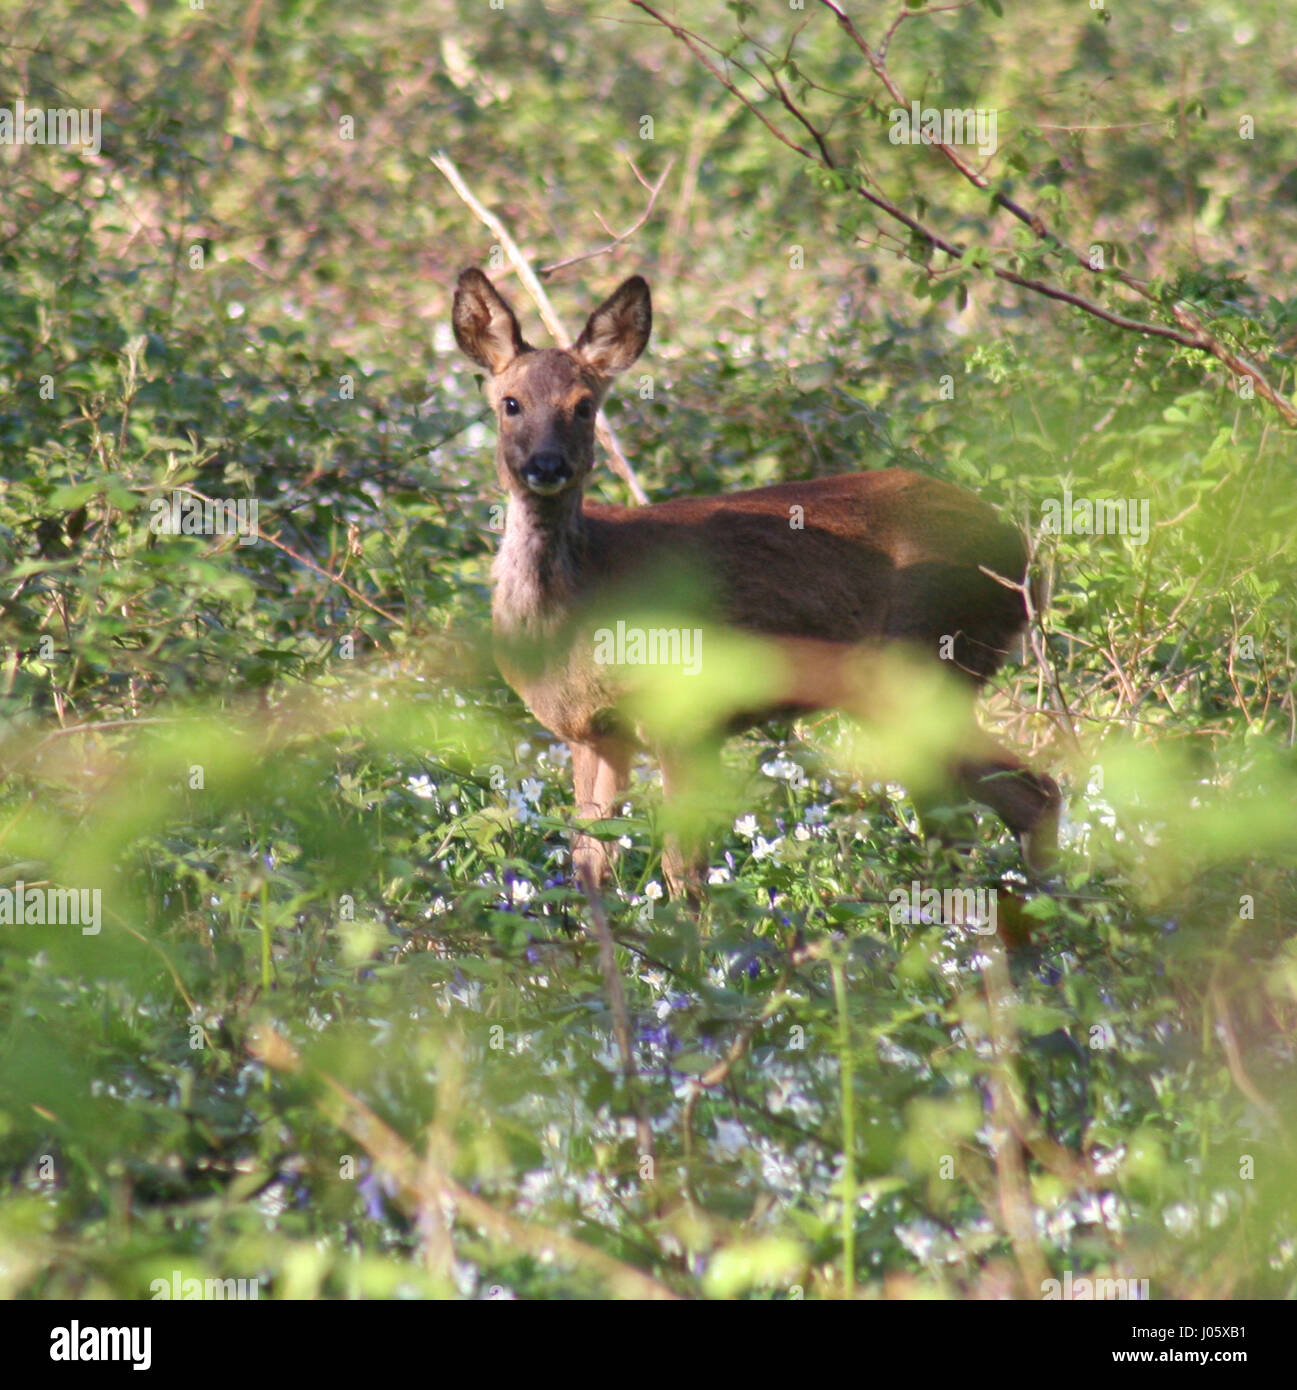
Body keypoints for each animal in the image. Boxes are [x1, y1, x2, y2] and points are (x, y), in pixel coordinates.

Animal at [450, 268, 1056, 900]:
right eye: (511, 403)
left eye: (584, 406)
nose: (546, 465)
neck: (582, 598)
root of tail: (1024, 560)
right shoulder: (590, 733)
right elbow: (590, 864)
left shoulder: (686, 712)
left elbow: (684, 869)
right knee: (993, 814)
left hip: (928, 662)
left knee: (1021, 799)